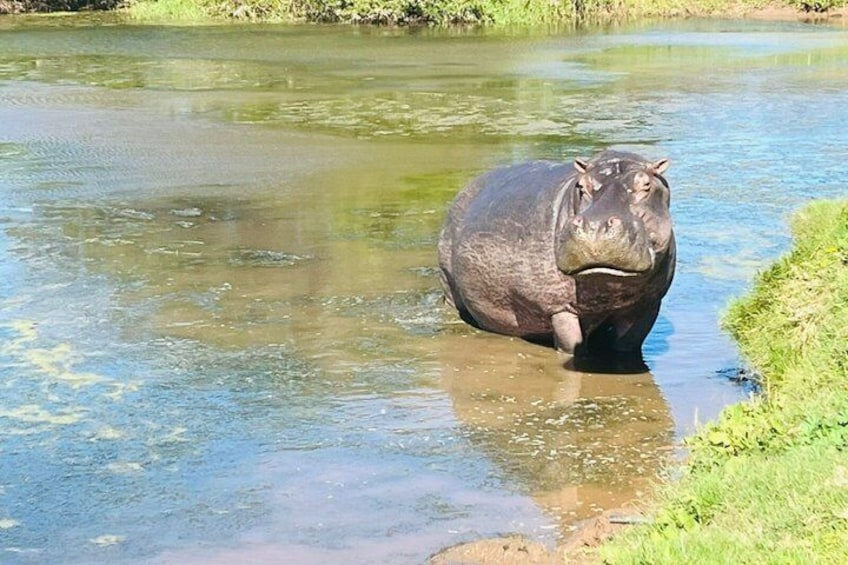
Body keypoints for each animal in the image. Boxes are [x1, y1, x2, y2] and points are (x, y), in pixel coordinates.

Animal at [437, 150, 675, 357]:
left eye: (646, 185)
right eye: (581, 185)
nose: (596, 226)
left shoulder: (648, 306)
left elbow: (628, 345)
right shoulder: (560, 308)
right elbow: (572, 347)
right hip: (447, 280)